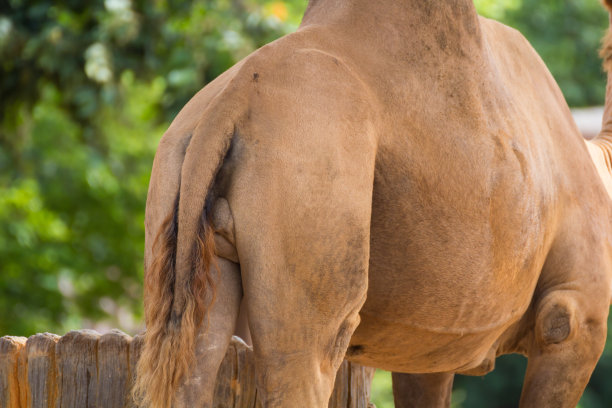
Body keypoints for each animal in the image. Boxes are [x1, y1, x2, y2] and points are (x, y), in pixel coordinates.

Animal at [134, 0, 612, 408]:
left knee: (194, 367)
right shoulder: (574, 315)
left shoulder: (429, 347)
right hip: (313, 187)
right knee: (306, 356)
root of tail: (228, 106)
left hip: (179, 206)